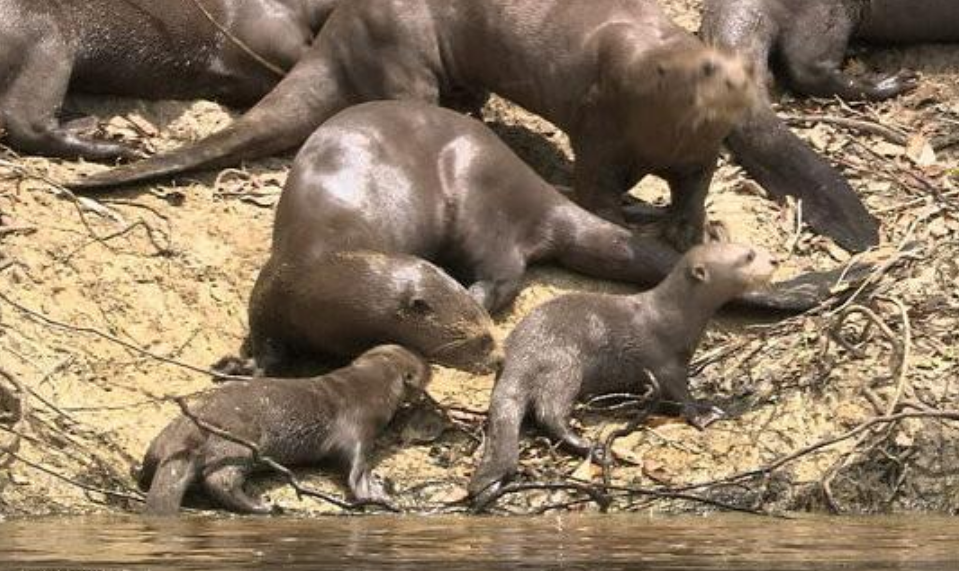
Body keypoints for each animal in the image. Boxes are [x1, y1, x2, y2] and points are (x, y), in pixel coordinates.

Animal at [73, 0, 756, 252]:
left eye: (743, 66)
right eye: (701, 68)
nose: (733, 76)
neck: (662, 135)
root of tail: (340, 29)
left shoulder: (699, 153)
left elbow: (697, 185)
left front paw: (687, 227)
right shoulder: (601, 128)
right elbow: (594, 186)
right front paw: (621, 222)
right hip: (401, 46)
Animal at [137, 346, 430, 516]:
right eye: (424, 369)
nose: (431, 364)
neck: (368, 387)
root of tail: (186, 437)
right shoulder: (357, 426)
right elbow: (355, 466)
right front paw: (374, 493)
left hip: (163, 438)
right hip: (239, 441)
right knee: (220, 479)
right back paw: (263, 506)